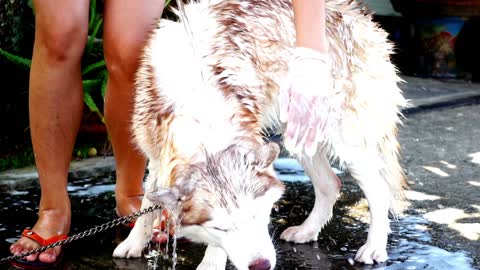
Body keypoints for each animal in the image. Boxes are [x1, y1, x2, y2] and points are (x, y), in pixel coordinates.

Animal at [111, 0, 404, 268]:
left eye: (258, 215)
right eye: (220, 228)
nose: (260, 266)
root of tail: (363, 19)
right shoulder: (157, 156)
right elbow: (147, 204)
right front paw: (134, 243)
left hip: (343, 139)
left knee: (379, 191)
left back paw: (374, 248)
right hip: (300, 135)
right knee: (332, 184)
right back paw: (306, 231)